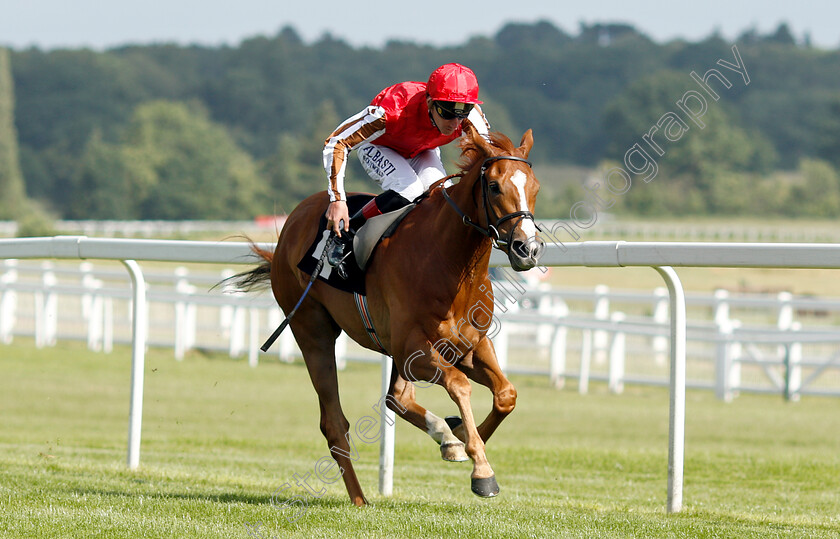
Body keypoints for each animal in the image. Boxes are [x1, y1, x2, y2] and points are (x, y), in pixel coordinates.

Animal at [230, 124, 544, 508]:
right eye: (495, 186)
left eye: (534, 187)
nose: (527, 249)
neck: (451, 263)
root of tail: (292, 222)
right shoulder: (415, 348)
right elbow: (459, 385)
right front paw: (481, 469)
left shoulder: (469, 346)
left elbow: (505, 394)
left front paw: (459, 439)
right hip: (313, 332)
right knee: (335, 422)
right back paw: (359, 498)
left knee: (397, 398)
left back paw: (443, 435)